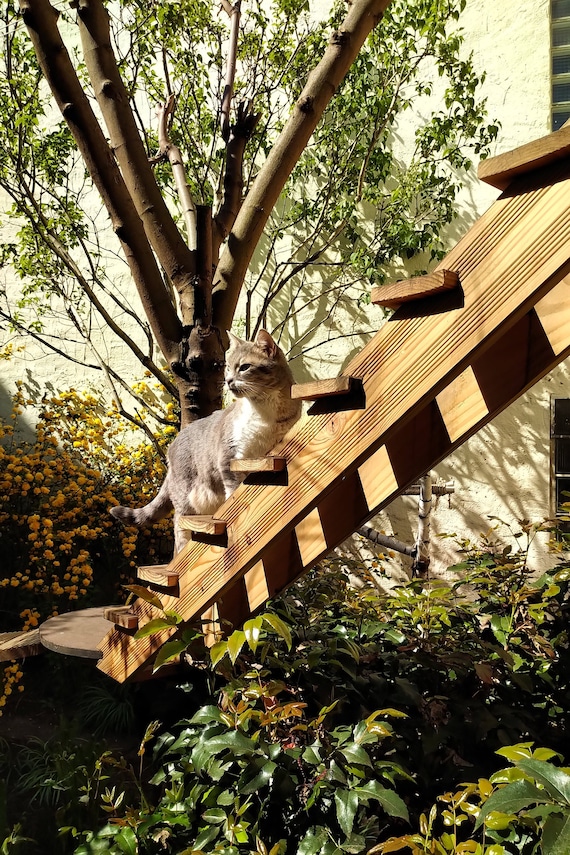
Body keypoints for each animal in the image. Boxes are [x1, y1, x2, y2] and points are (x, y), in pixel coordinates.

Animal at [108, 328, 300, 556]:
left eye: (244, 367)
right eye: (228, 368)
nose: (228, 381)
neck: (265, 413)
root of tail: (171, 448)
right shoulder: (230, 455)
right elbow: (234, 488)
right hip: (186, 497)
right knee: (179, 526)